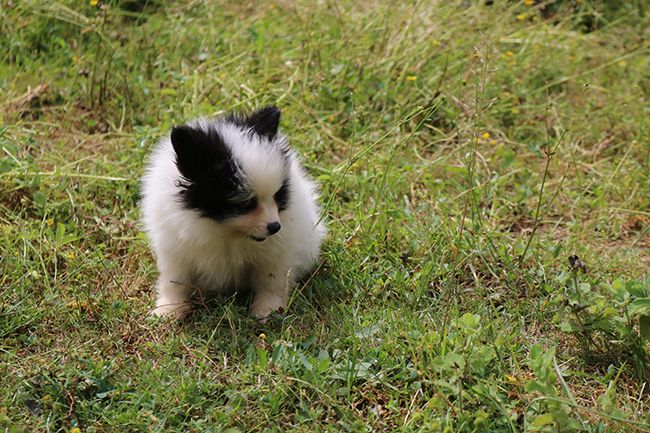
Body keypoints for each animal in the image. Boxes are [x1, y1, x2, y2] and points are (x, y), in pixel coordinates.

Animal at [141, 106, 326, 319]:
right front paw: (169, 309)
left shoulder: (276, 253)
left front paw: (267, 310)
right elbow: (176, 280)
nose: (275, 227)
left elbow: (271, 280)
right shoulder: (175, 249)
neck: (225, 231)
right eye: (246, 203)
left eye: (278, 196)